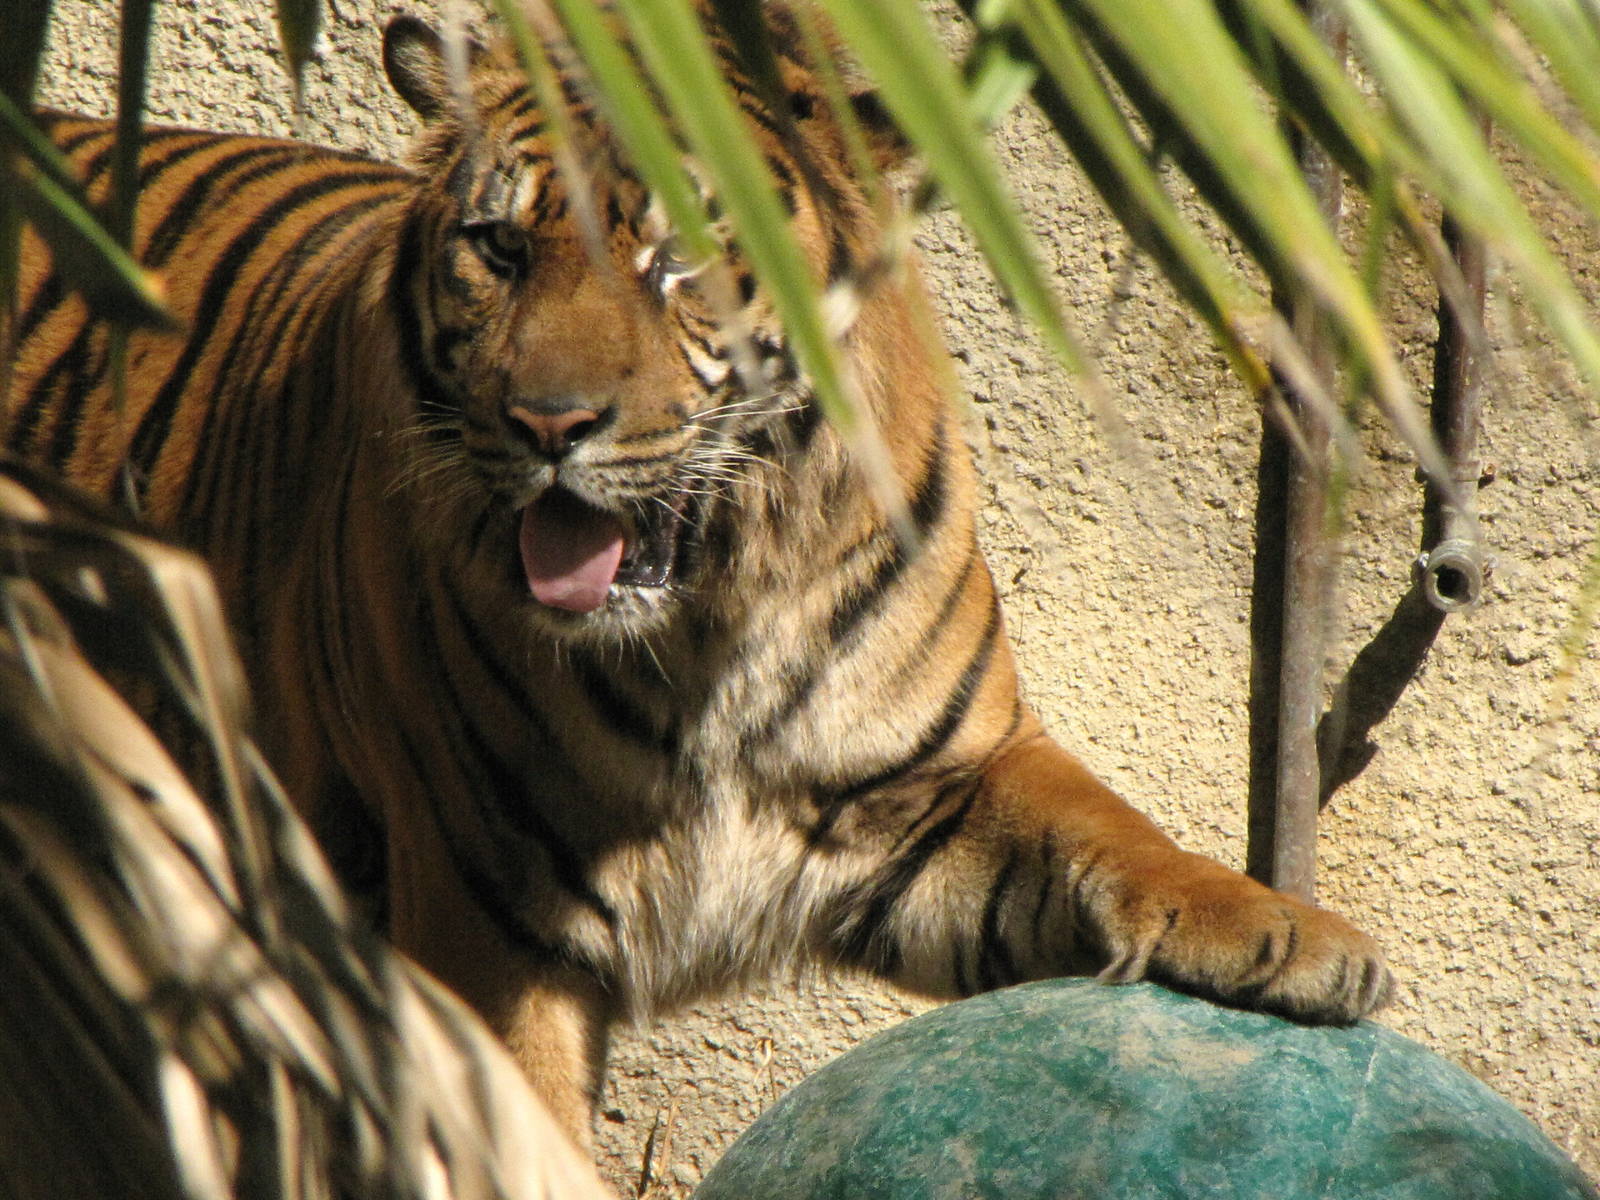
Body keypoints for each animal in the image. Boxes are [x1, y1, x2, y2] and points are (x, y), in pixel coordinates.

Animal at [8, 5, 1390, 1145]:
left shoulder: (941, 786)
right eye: (498, 248)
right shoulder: (486, 914)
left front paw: (1292, 935)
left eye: (679, 259)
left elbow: (1114, 828)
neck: (719, 616)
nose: (546, 424)